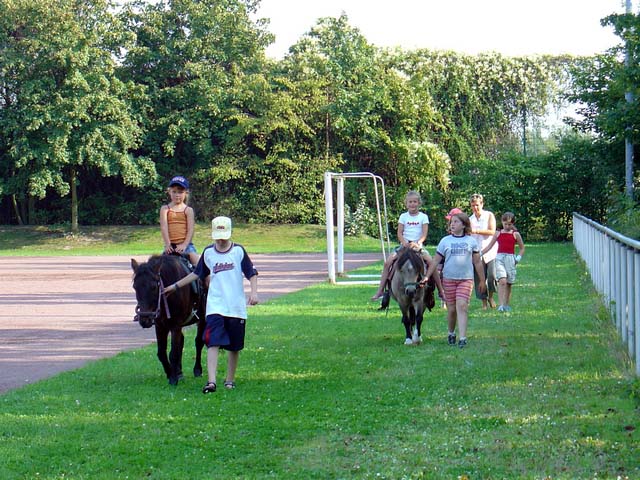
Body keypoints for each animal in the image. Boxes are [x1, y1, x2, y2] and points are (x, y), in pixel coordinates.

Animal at [131, 255, 206, 386]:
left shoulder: (175, 326)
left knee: (198, 343)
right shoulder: (160, 326)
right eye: (135, 287)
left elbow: (174, 353)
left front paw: (173, 378)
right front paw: (170, 372)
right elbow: (162, 352)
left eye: (153, 287)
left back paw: (197, 369)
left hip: (202, 319)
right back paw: (179, 372)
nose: (145, 318)